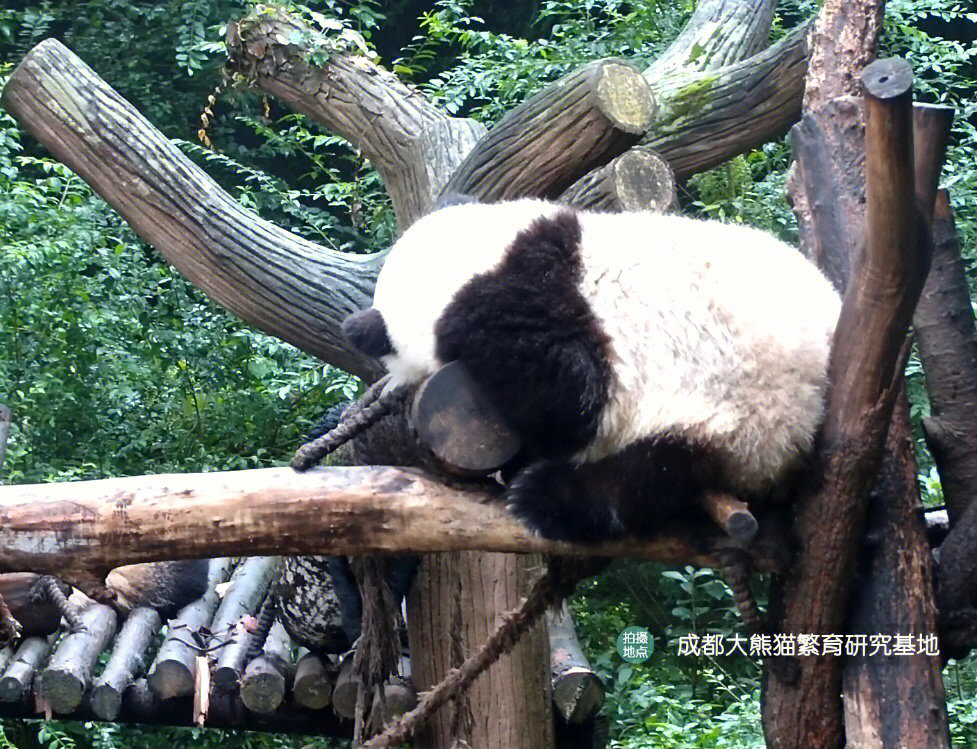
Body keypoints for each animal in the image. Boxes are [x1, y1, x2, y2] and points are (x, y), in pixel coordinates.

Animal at [342, 196, 840, 540]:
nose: (387, 387)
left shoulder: (521, 306)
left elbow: (569, 395)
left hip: (748, 415)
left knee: (649, 479)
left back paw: (543, 498)